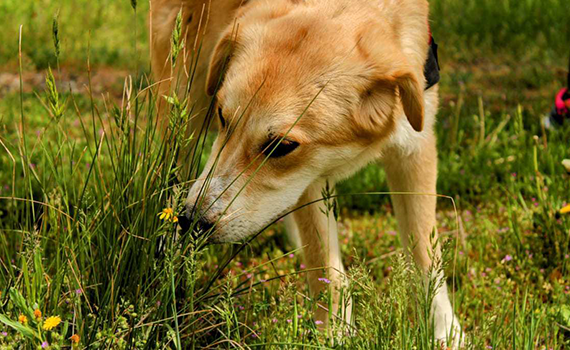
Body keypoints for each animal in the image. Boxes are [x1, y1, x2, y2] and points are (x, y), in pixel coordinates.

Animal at [152, 0, 462, 346]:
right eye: (222, 116)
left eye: (282, 146)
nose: (192, 221)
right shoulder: (310, 181)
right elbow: (327, 271)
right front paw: (335, 336)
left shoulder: (413, 148)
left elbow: (426, 258)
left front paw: (445, 333)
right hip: (182, 107)